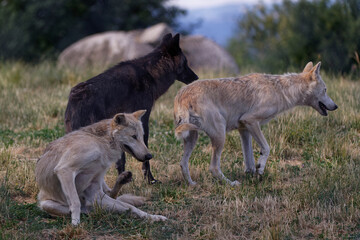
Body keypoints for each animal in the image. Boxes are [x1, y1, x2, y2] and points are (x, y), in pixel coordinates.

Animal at [35, 109, 167, 226]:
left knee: (123, 202)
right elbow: (75, 203)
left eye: (142, 136)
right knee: (83, 208)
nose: (149, 156)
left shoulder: (94, 190)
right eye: (134, 136)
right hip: (48, 204)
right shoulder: (64, 169)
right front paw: (75, 225)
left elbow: (129, 206)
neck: (102, 143)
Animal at [65, 33, 200, 184]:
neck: (151, 74)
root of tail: (75, 99)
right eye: (186, 62)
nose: (196, 77)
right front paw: (150, 180)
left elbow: (121, 160)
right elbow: (143, 156)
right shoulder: (143, 121)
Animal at [174, 62, 338, 186]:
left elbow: (249, 160)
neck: (281, 90)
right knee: (213, 168)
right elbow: (266, 148)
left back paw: (192, 185)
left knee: (183, 164)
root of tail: (182, 96)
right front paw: (260, 169)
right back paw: (232, 184)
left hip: (192, 138)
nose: (336, 106)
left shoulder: (244, 129)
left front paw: (253, 174)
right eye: (325, 90)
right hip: (219, 136)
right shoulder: (250, 121)